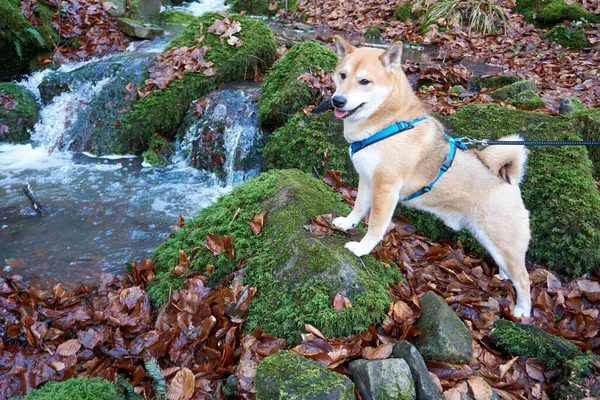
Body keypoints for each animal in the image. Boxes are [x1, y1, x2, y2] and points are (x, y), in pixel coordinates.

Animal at [330, 36, 532, 318]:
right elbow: (358, 208)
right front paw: (348, 224)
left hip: (504, 244)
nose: (337, 100)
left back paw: (523, 309)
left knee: (524, 279)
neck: (389, 124)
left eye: (364, 81)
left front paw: (362, 248)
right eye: (342, 75)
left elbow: (375, 226)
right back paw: (502, 277)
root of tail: (509, 182)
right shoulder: (367, 180)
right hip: (492, 242)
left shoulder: (386, 188)